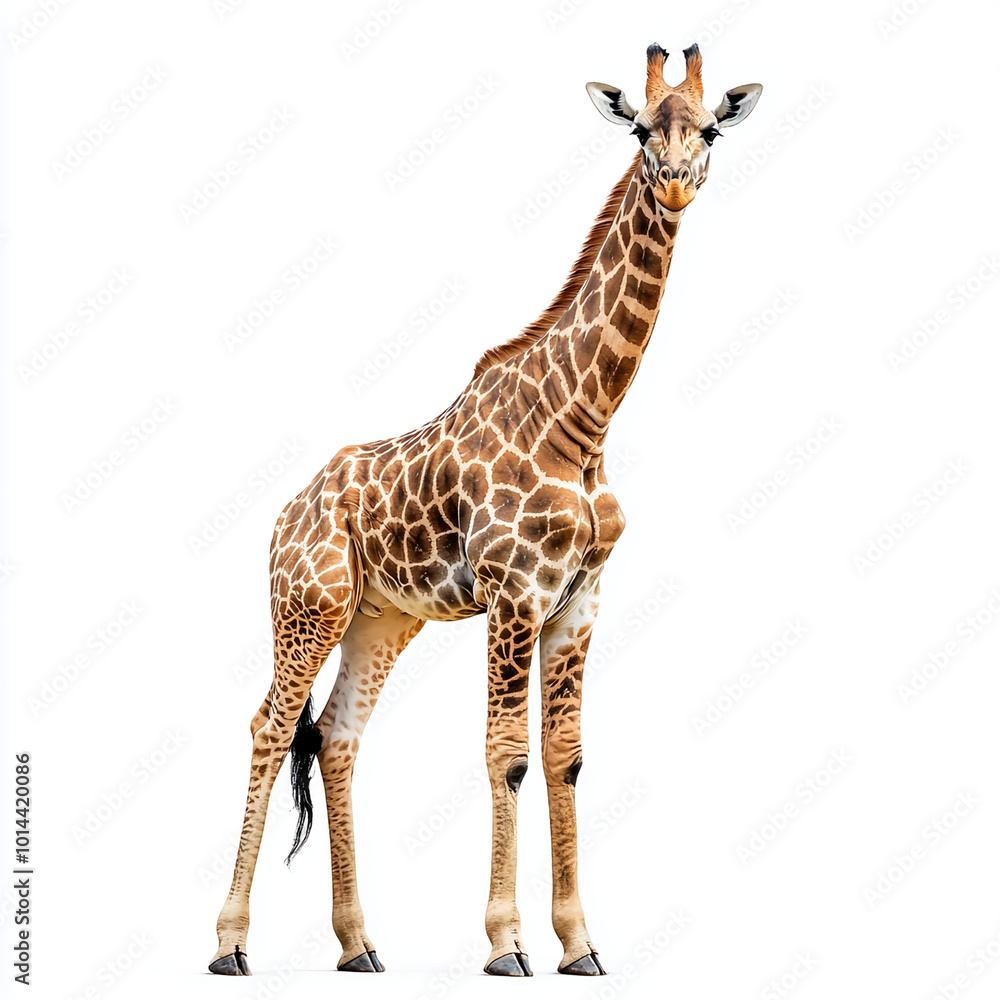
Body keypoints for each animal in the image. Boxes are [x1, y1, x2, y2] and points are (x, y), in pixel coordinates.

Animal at [209, 42, 761, 979]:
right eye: (642, 129)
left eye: (712, 127)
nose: (677, 181)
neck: (583, 422)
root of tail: (283, 517)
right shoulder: (514, 591)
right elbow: (507, 757)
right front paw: (507, 944)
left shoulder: (579, 599)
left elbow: (566, 757)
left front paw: (580, 944)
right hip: (308, 605)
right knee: (268, 727)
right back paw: (229, 943)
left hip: (380, 618)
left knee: (338, 737)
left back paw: (359, 945)